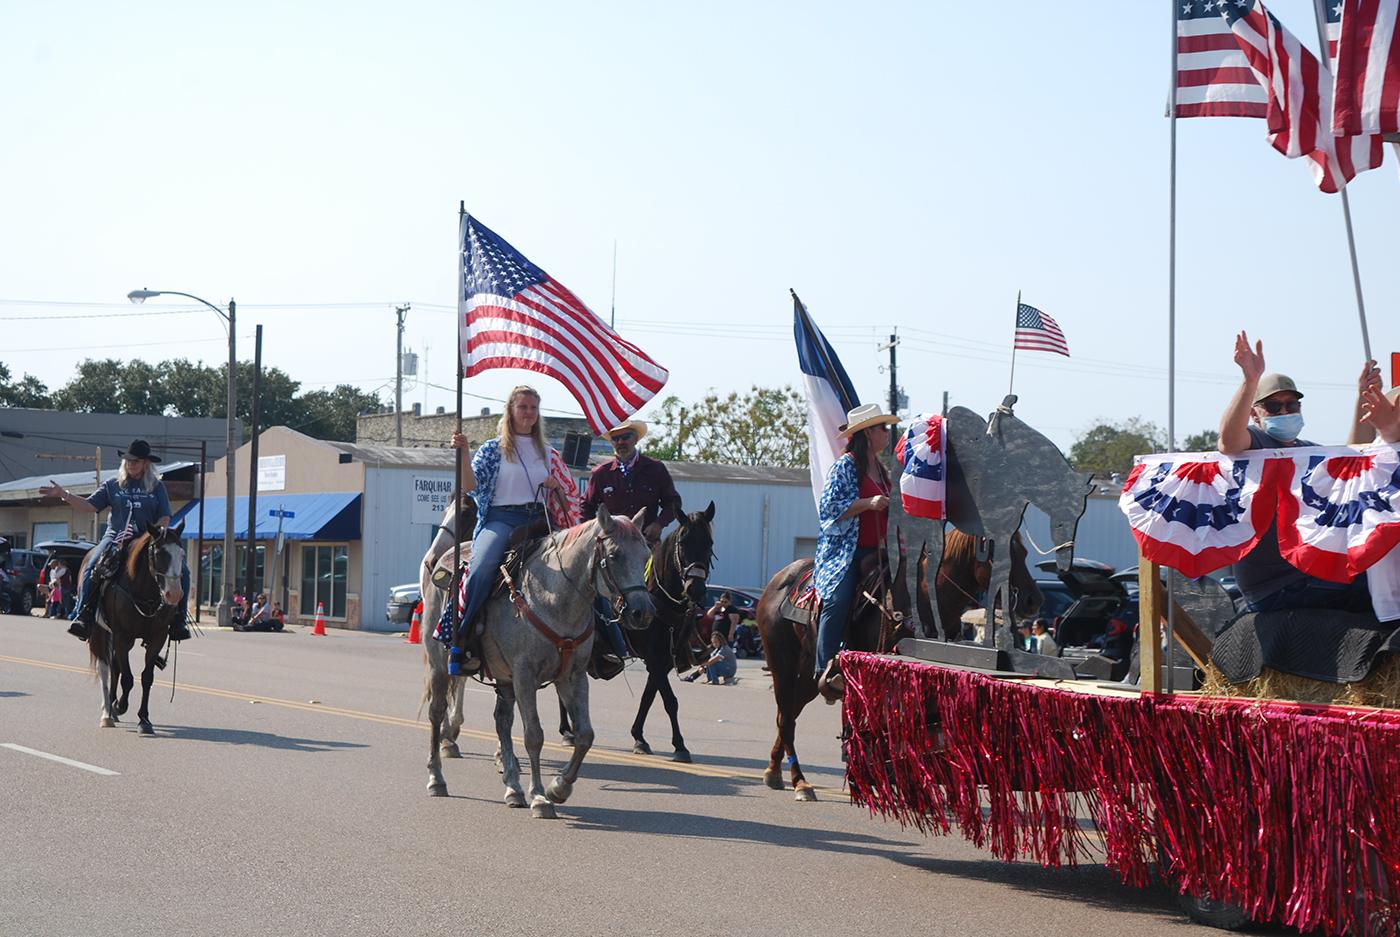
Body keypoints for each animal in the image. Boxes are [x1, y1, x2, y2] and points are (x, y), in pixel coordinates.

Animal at [761, 529, 912, 801]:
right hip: (782, 664)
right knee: (786, 718)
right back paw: (800, 782)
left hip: (810, 675)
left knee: (788, 713)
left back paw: (774, 770)